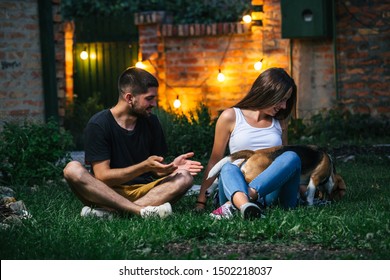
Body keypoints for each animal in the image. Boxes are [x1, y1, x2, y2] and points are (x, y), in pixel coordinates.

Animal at [209, 144, 346, 206]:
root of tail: (254, 153)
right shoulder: (315, 178)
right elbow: (311, 194)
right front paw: (311, 205)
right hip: (253, 176)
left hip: (242, 168)